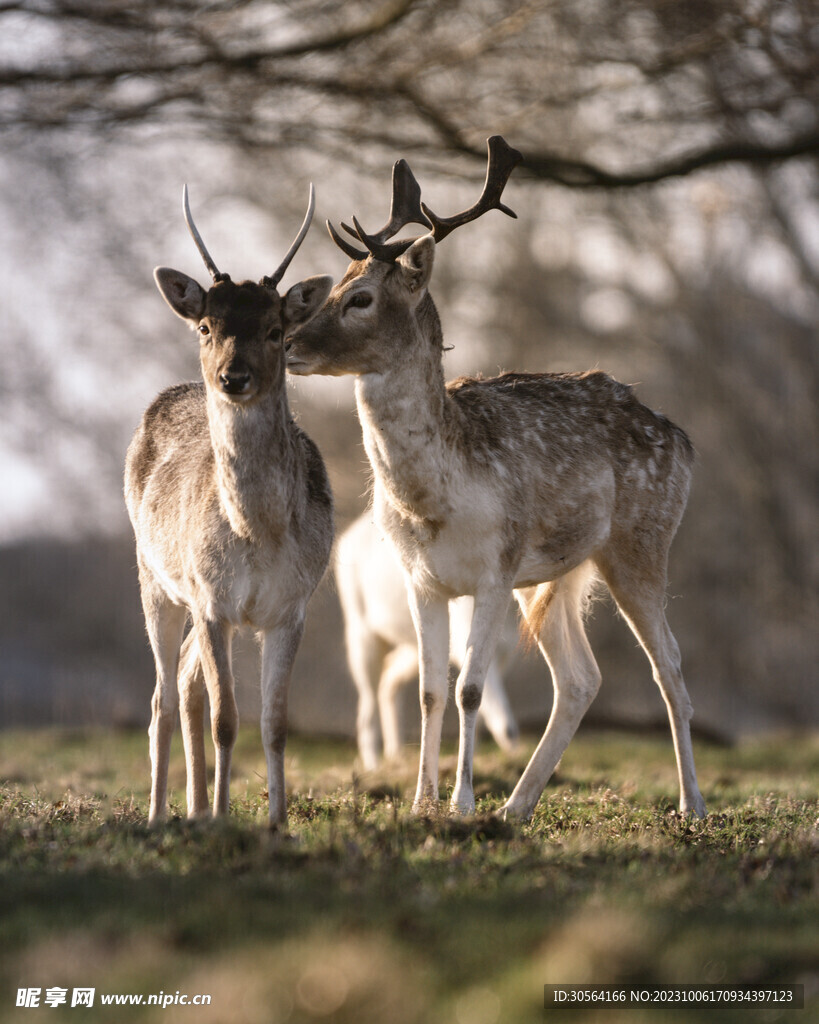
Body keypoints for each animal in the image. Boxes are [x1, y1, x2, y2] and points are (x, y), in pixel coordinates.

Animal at [124, 184, 334, 826]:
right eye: (206, 326)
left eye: (276, 330)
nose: (232, 376)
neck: (258, 534)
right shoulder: (213, 599)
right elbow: (225, 720)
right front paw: (222, 820)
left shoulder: (292, 606)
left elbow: (274, 724)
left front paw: (277, 823)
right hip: (155, 577)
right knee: (164, 696)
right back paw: (162, 816)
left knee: (187, 682)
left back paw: (192, 810)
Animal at [336, 511, 519, 770]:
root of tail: (351, 533)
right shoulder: (466, 642)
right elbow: (496, 712)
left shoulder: (504, 654)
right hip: (361, 635)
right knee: (366, 706)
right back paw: (373, 767)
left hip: (414, 648)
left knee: (389, 679)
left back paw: (396, 755)